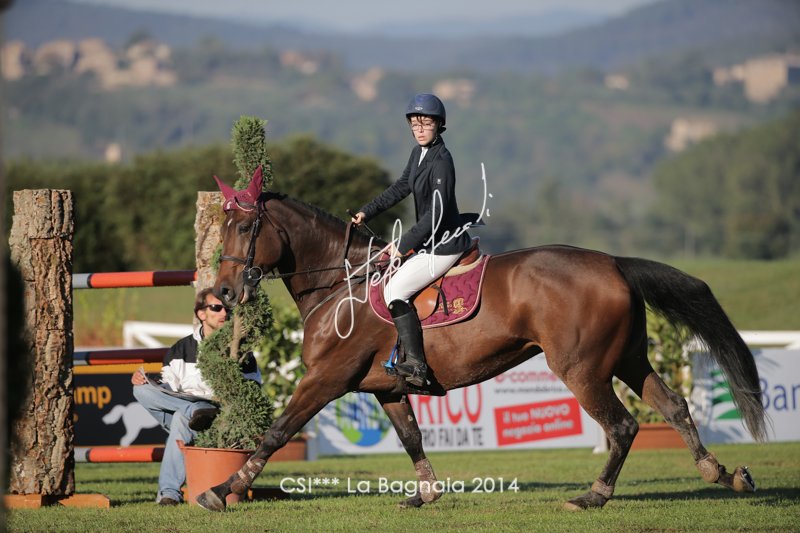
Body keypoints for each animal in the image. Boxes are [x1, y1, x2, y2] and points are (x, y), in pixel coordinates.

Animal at [198, 172, 767, 512]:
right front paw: (426, 494)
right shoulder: (385, 388)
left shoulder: (326, 379)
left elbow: (275, 433)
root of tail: (613, 263)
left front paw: (223, 489)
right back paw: (723, 474)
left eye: (245, 228)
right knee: (672, 406)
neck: (343, 283)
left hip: (582, 369)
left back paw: (594, 496)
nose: (222, 293)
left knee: (623, 426)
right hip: (626, 358)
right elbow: (411, 438)